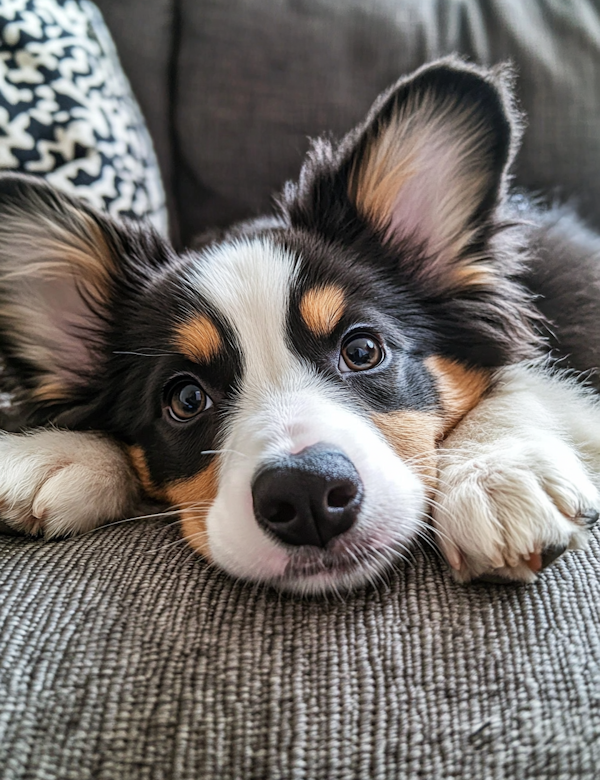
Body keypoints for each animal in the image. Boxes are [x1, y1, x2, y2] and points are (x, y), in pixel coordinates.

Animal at [1, 58, 600, 596]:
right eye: (186, 399)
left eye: (363, 351)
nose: (308, 495)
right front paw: (52, 455)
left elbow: (523, 380)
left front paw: (495, 474)